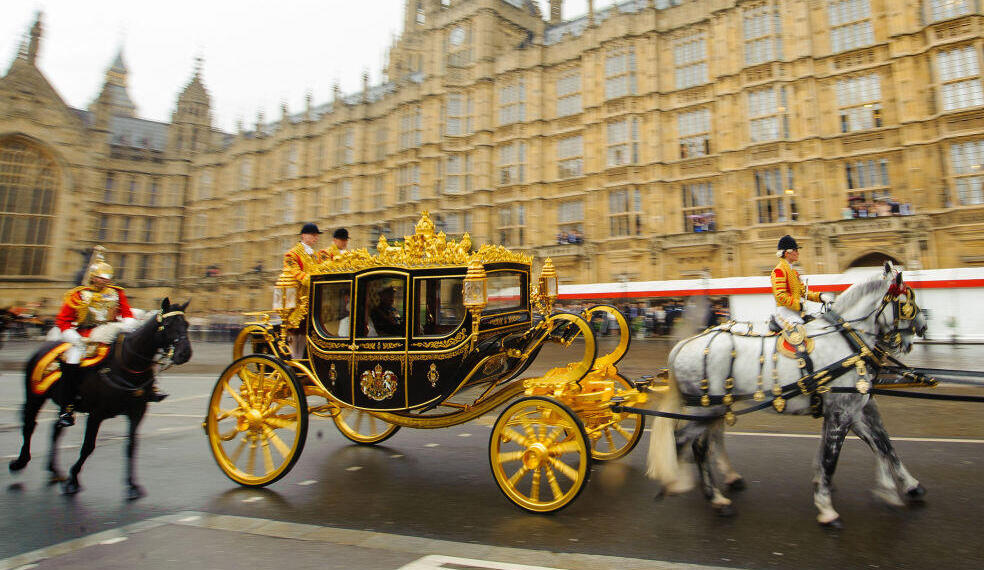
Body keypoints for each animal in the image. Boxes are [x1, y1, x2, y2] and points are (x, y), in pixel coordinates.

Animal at [8, 298, 190, 496]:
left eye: (186, 324)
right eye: (168, 324)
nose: (185, 354)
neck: (126, 365)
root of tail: (45, 346)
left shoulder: (137, 413)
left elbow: (131, 446)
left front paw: (132, 485)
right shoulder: (96, 414)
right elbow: (88, 447)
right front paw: (73, 479)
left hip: (63, 404)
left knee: (55, 430)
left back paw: (54, 471)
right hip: (35, 396)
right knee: (29, 425)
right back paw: (20, 462)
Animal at [648, 264, 928, 524]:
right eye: (907, 301)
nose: (923, 328)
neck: (847, 341)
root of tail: (683, 345)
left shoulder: (855, 407)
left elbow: (882, 444)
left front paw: (907, 486)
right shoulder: (842, 410)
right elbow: (834, 457)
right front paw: (827, 508)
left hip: (715, 407)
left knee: (705, 440)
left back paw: (716, 485)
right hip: (706, 408)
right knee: (688, 442)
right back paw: (695, 490)